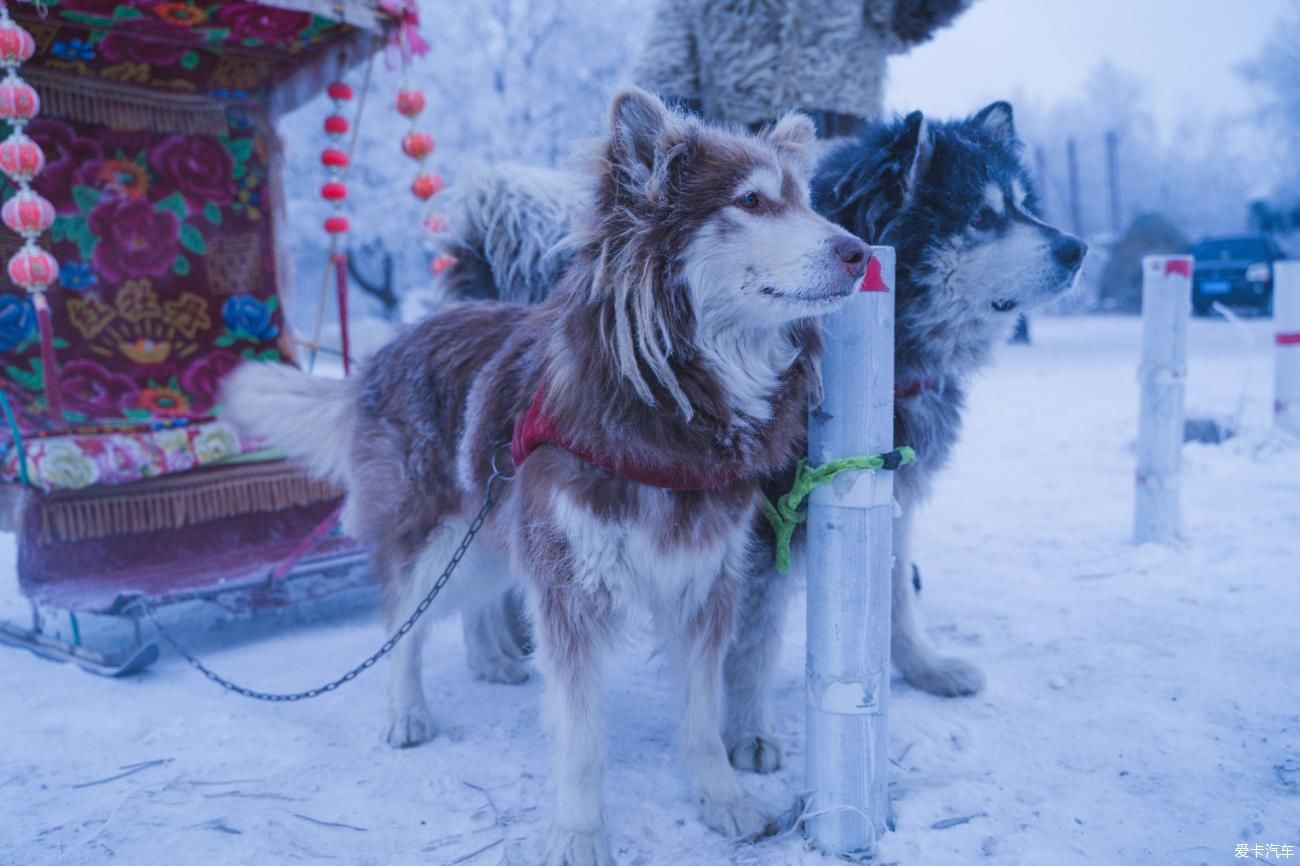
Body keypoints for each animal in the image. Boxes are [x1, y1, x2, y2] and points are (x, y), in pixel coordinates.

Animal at [224, 89, 873, 863]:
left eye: (805, 201)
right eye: (751, 200)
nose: (862, 253)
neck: (671, 409)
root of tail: (388, 347)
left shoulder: (705, 579)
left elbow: (700, 716)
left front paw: (722, 799)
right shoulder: (570, 586)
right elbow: (581, 735)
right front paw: (579, 832)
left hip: (488, 532)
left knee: (467, 600)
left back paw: (491, 662)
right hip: (433, 537)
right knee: (404, 624)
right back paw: (406, 712)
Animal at [431, 101, 1081, 769]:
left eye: (1023, 205)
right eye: (983, 215)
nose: (1077, 248)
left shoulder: (887, 485)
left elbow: (895, 590)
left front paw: (922, 665)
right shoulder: (762, 523)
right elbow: (754, 640)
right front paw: (748, 731)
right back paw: (491, 656)